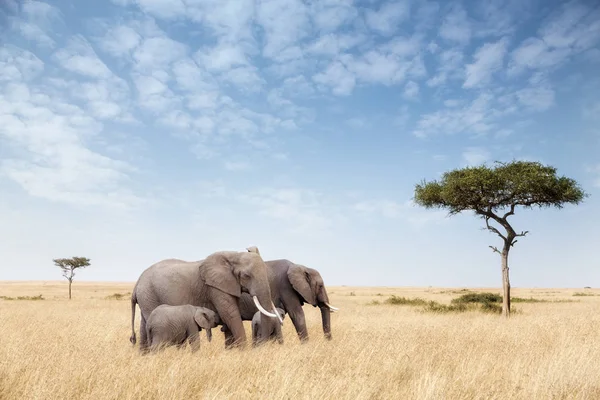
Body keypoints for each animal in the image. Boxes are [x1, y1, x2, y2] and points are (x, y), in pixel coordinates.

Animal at [129, 247, 284, 350]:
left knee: (144, 326)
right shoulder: (215, 287)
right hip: (149, 295)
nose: (260, 347)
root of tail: (137, 284)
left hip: (146, 297)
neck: (233, 255)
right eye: (246, 276)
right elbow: (231, 314)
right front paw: (244, 352)